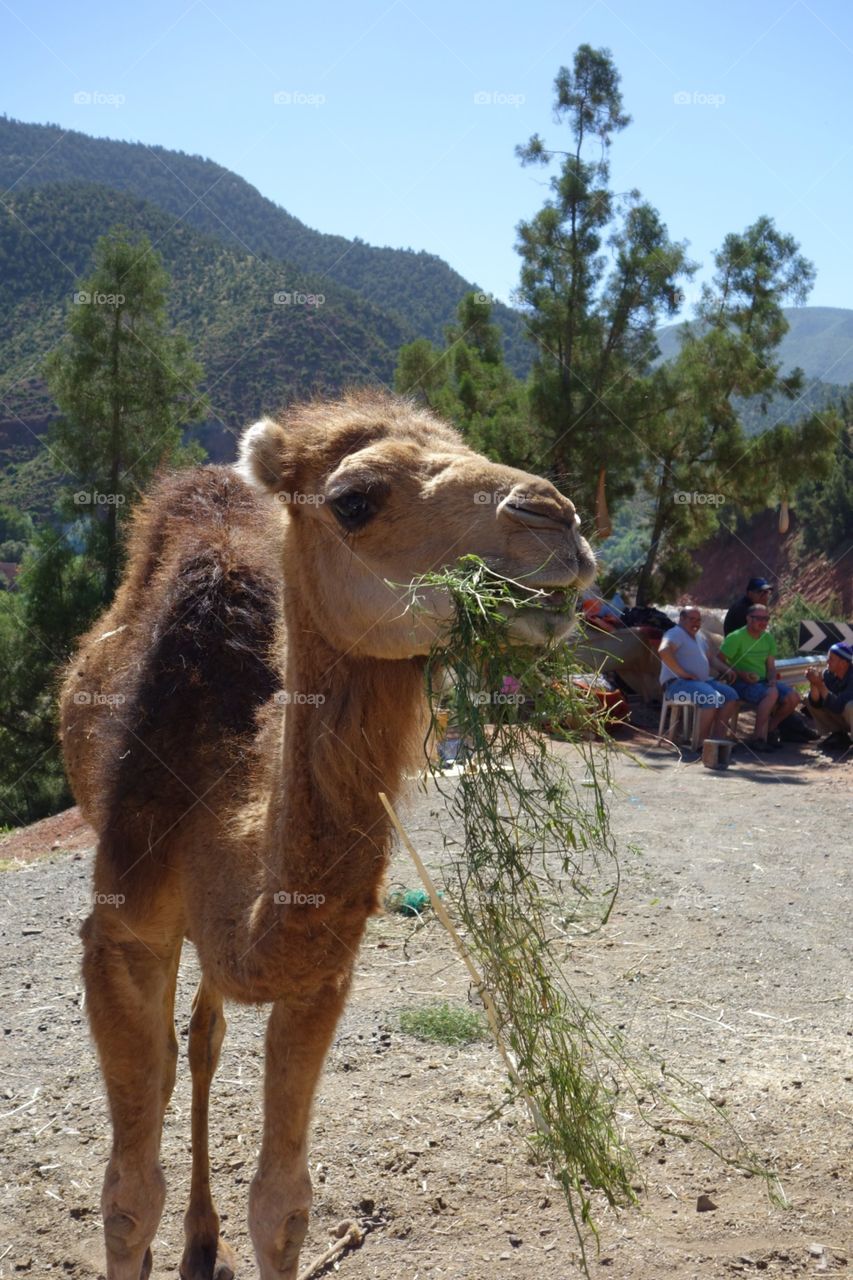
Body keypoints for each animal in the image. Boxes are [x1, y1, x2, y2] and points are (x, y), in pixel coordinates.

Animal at [60, 389, 596, 1280]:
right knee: (172, 1063)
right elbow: (128, 1199)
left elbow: (282, 1205)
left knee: (203, 1037)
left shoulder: (322, 978)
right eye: (353, 500)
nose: (556, 518)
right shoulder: (120, 935)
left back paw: (203, 1241)